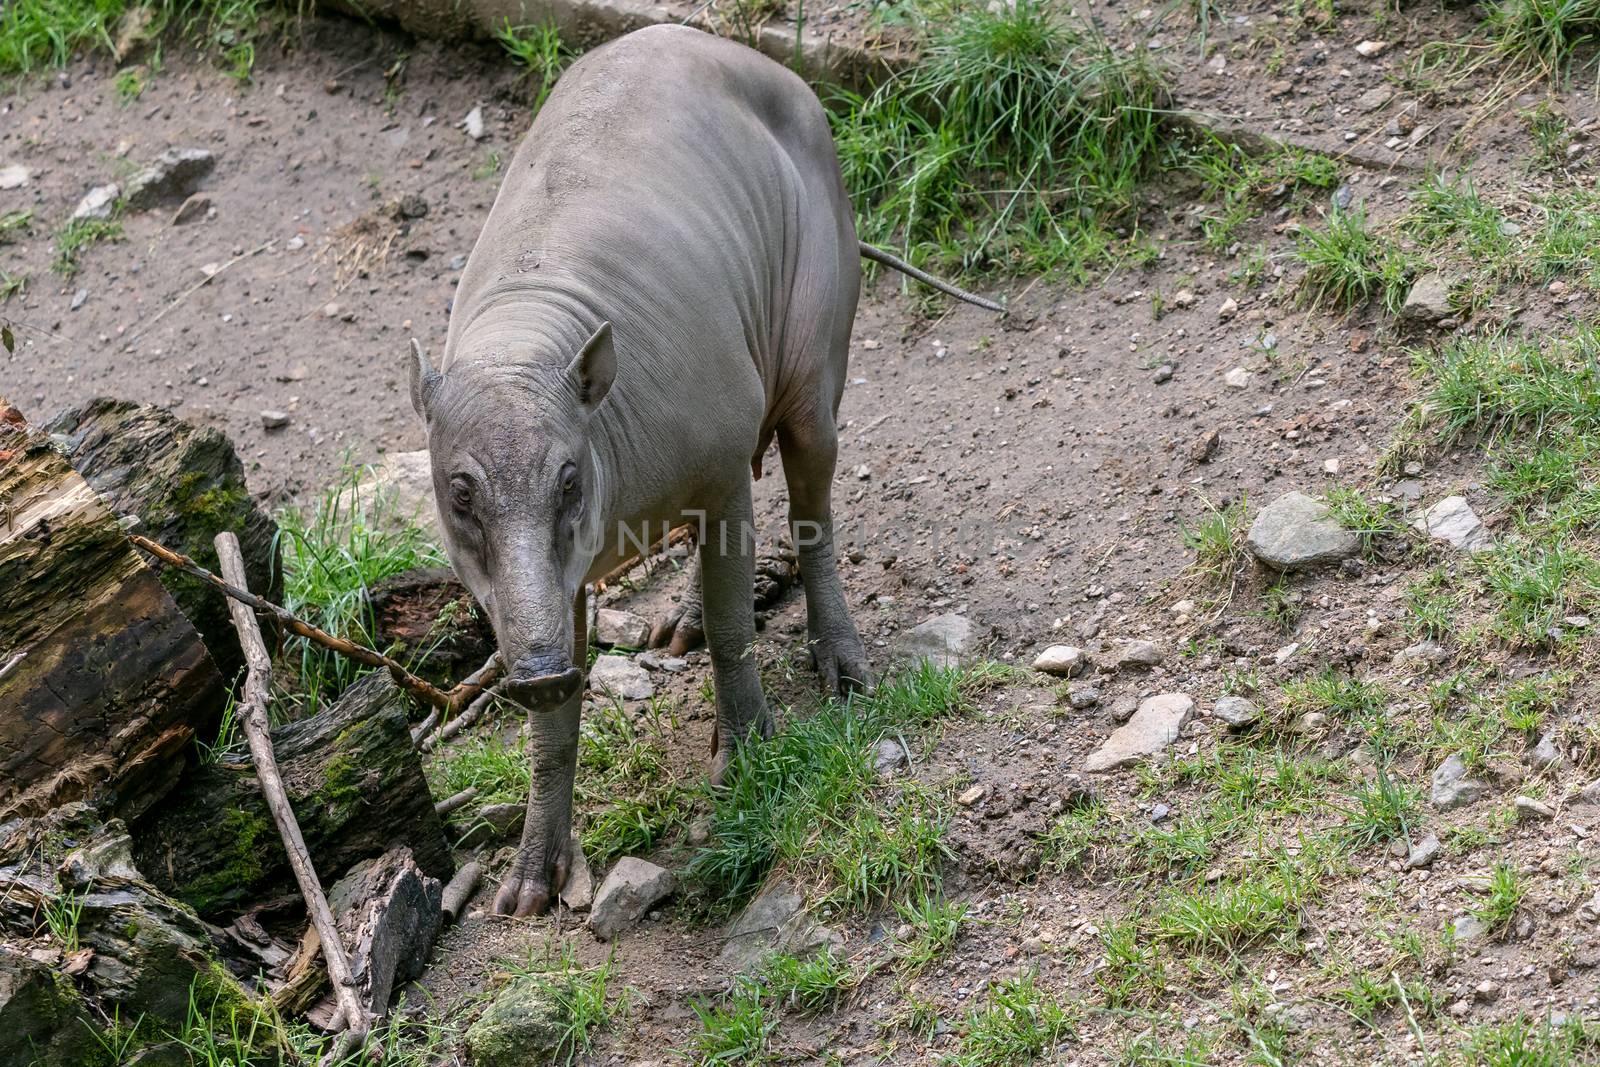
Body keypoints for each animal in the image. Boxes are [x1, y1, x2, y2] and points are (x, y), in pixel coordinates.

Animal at [406, 24, 992, 921]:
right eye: (460, 496)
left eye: (570, 481)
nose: (538, 673)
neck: (529, 338)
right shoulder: (551, 579)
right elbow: (553, 721)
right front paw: (534, 873)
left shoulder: (714, 465)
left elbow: (731, 626)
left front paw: (746, 755)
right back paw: (676, 617)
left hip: (814, 358)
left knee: (812, 505)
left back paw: (841, 659)